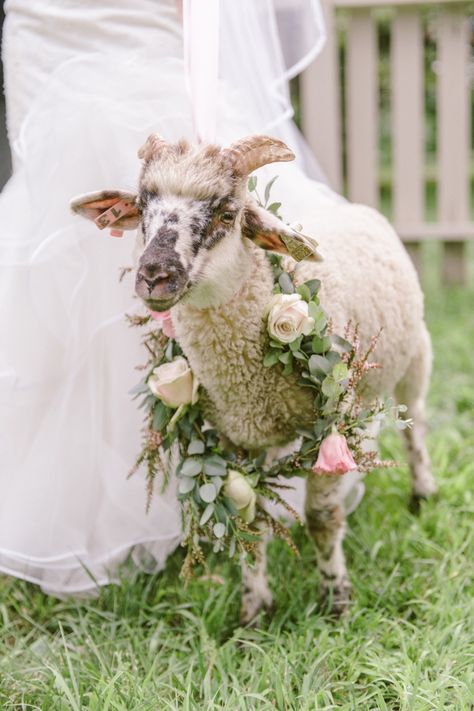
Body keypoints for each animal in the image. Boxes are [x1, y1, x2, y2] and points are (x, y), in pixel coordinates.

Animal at [70, 135, 436, 624]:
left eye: (228, 214)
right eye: (143, 208)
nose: (154, 276)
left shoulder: (333, 423)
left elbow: (323, 518)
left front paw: (336, 600)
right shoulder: (234, 437)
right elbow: (248, 523)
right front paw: (253, 609)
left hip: (415, 355)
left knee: (416, 424)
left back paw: (423, 493)